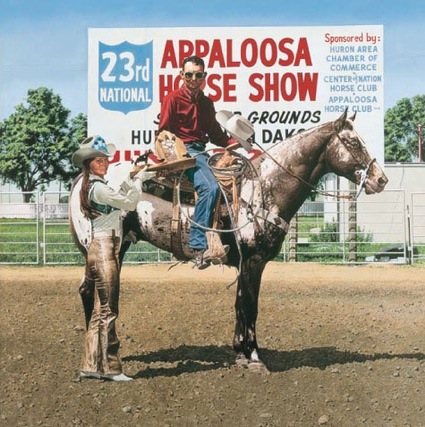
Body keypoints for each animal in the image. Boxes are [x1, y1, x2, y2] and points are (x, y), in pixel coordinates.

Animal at [68, 108, 388, 372]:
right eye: (354, 143)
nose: (381, 179)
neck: (265, 187)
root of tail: (83, 179)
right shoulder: (254, 261)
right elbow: (250, 306)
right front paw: (255, 358)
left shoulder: (244, 262)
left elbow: (239, 305)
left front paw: (240, 353)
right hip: (104, 248)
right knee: (92, 291)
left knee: (92, 291)